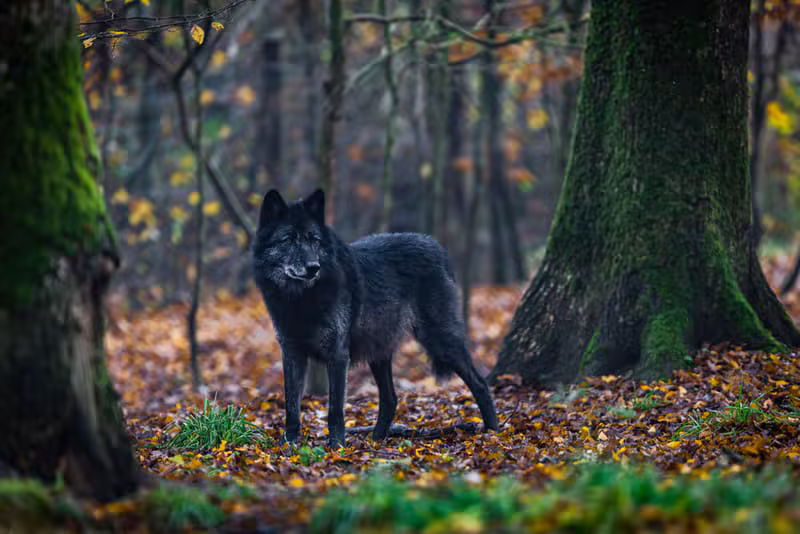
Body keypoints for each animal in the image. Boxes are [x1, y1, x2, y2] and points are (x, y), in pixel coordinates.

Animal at [252, 189, 499, 448]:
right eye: (288, 239)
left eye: (314, 239)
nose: (313, 267)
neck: (300, 301)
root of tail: (437, 247)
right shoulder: (292, 353)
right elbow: (291, 406)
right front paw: (288, 444)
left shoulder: (338, 355)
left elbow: (335, 409)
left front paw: (336, 447)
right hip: (379, 351)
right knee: (390, 398)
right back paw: (375, 440)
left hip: (440, 341)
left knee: (480, 383)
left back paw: (492, 432)